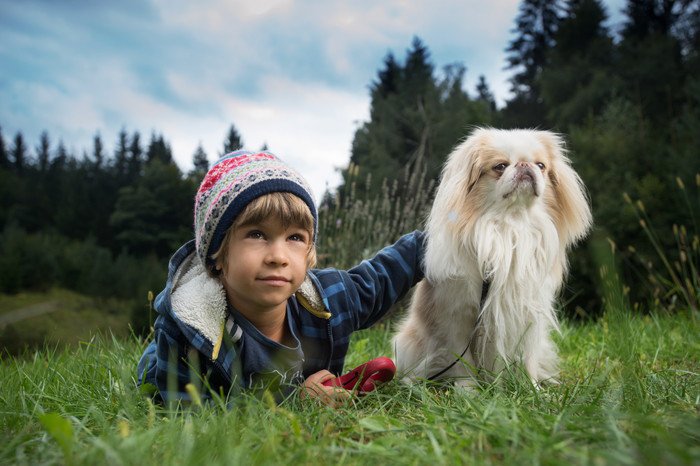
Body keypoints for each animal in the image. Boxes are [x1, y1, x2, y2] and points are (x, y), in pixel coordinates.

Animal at [394, 127, 592, 386]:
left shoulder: (528, 313)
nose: (525, 165)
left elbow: (528, 358)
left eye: (540, 166)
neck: (511, 224)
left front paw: (532, 388)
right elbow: (462, 359)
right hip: (408, 340)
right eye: (500, 166)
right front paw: (467, 389)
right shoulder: (458, 317)